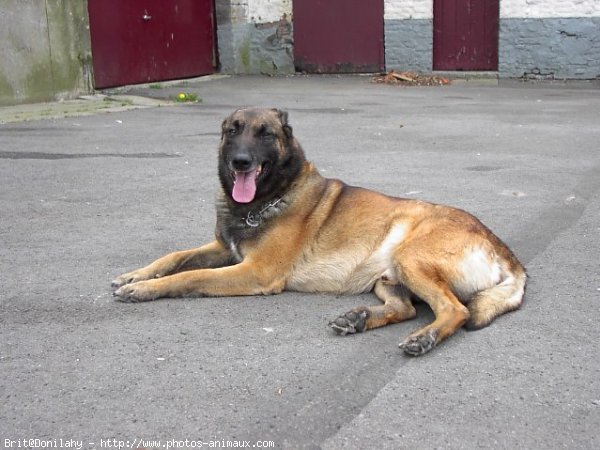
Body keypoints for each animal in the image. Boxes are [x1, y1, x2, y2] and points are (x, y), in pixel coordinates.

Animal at [112, 108, 524, 356]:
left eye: (265, 134)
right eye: (233, 131)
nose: (240, 162)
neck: (267, 199)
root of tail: (507, 252)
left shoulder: (254, 271)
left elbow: (191, 276)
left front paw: (144, 289)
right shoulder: (223, 248)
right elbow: (176, 256)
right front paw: (136, 275)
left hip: (409, 258)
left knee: (456, 310)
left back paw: (425, 337)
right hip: (387, 275)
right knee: (404, 308)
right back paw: (359, 319)